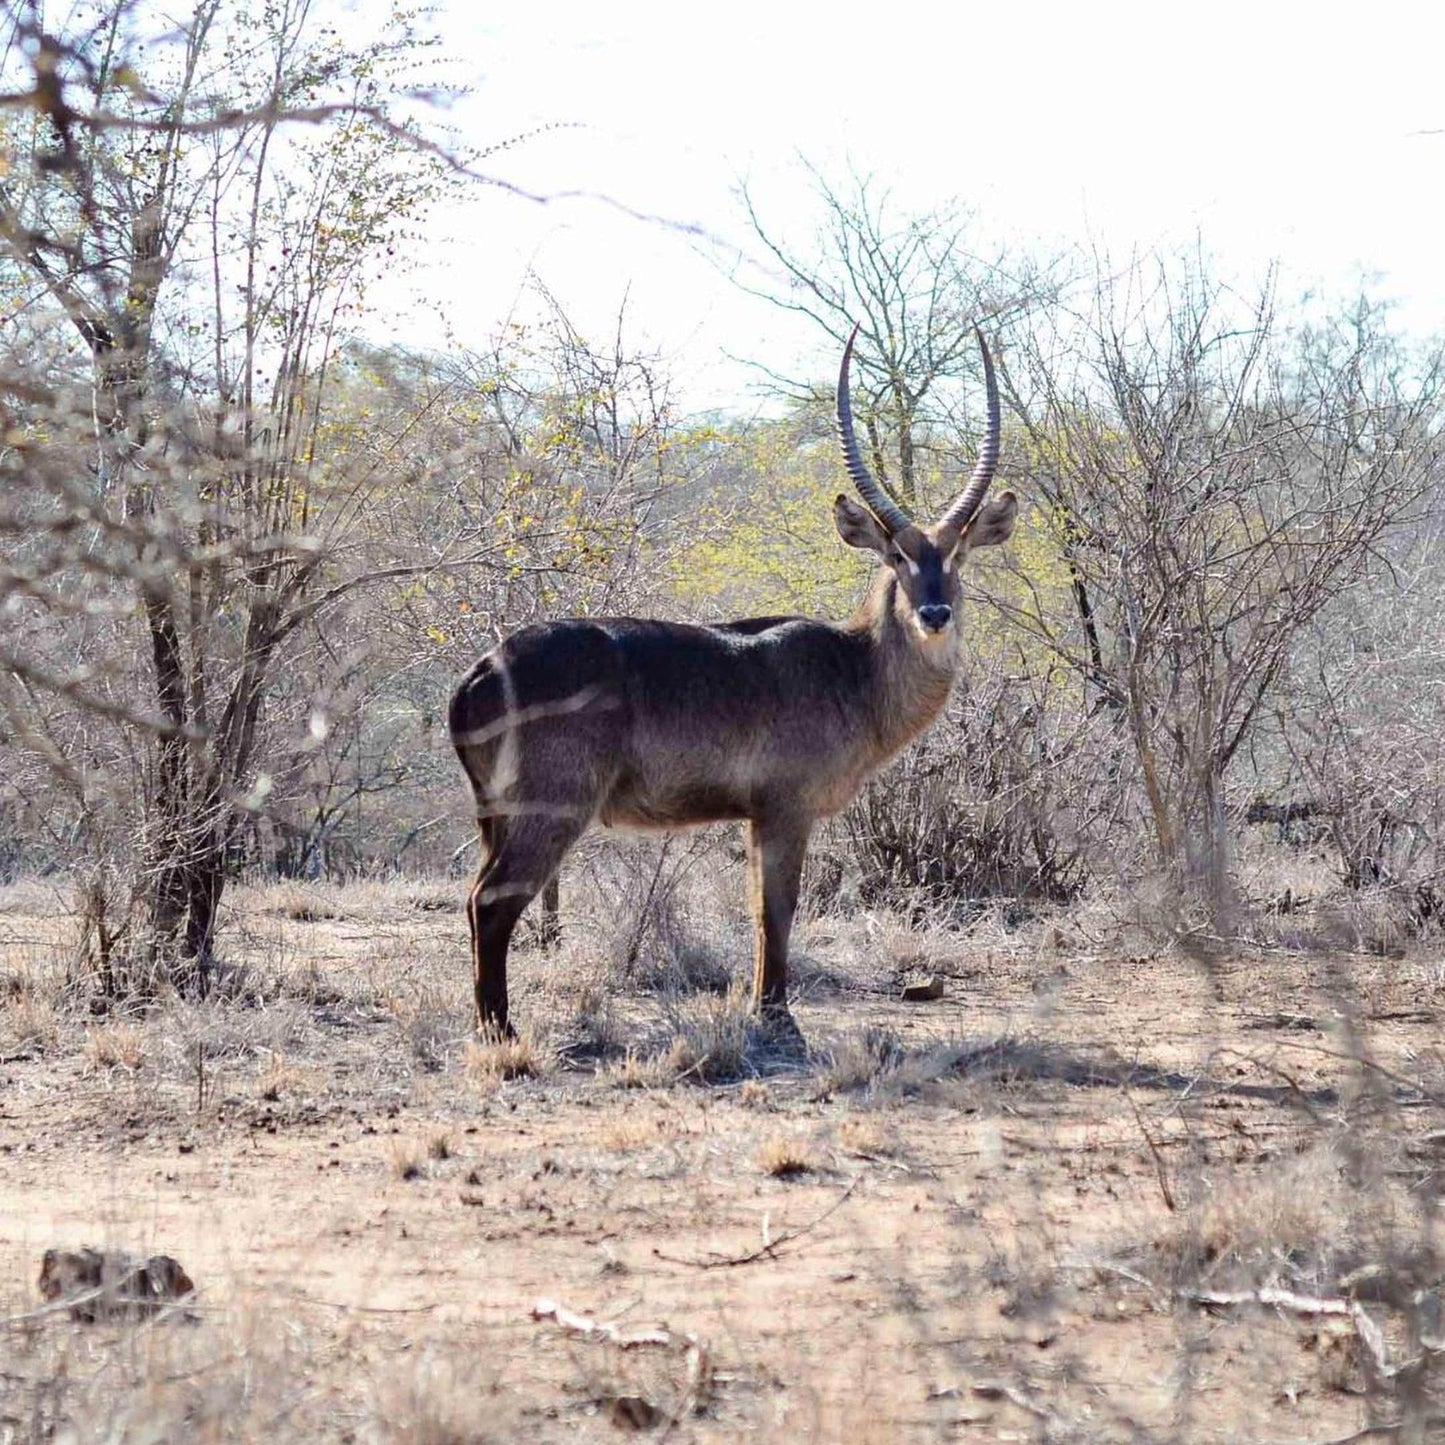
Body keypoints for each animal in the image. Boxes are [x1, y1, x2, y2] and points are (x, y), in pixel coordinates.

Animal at [449, 325, 1017, 1033]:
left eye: (957, 554)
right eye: (896, 556)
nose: (934, 614)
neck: (853, 668)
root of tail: (479, 672)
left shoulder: (757, 815)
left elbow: (758, 909)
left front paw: (761, 1002)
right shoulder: (785, 807)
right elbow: (778, 909)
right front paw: (774, 1013)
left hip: (494, 815)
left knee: (476, 898)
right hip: (550, 807)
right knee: (492, 901)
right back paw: (500, 1030)